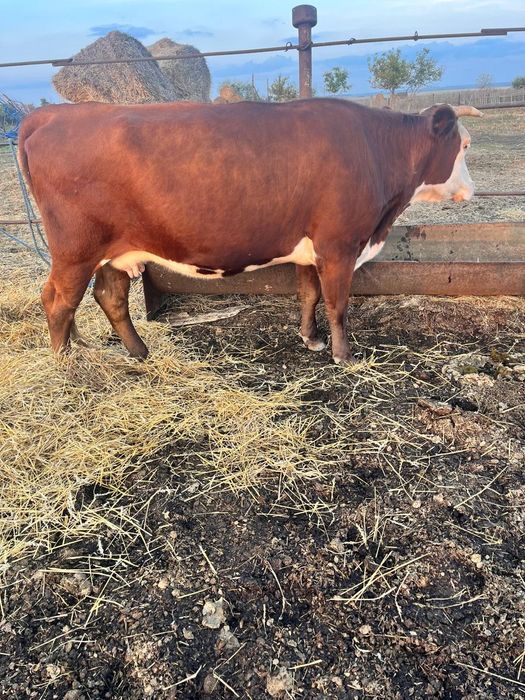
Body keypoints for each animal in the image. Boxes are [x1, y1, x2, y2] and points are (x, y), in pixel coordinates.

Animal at [19, 99, 480, 364]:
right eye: (465, 145)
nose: (472, 190)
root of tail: (53, 112)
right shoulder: (339, 245)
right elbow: (338, 304)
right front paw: (343, 357)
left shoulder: (309, 248)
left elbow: (309, 294)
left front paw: (310, 340)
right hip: (75, 250)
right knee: (58, 301)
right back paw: (65, 366)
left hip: (116, 250)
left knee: (109, 297)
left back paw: (139, 353)